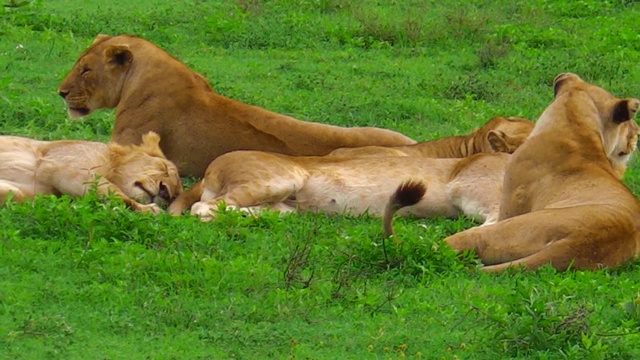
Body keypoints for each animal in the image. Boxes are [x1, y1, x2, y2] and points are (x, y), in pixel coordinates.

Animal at [0, 132, 182, 212]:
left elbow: (14, 195)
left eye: (174, 196)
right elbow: (116, 193)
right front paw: (149, 210)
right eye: (163, 168)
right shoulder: (64, 165)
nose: (165, 192)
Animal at [438, 72, 640, 270]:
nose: (637, 131)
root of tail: (581, 243)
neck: (578, 131)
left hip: (512, 227)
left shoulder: (509, 205)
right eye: (629, 122)